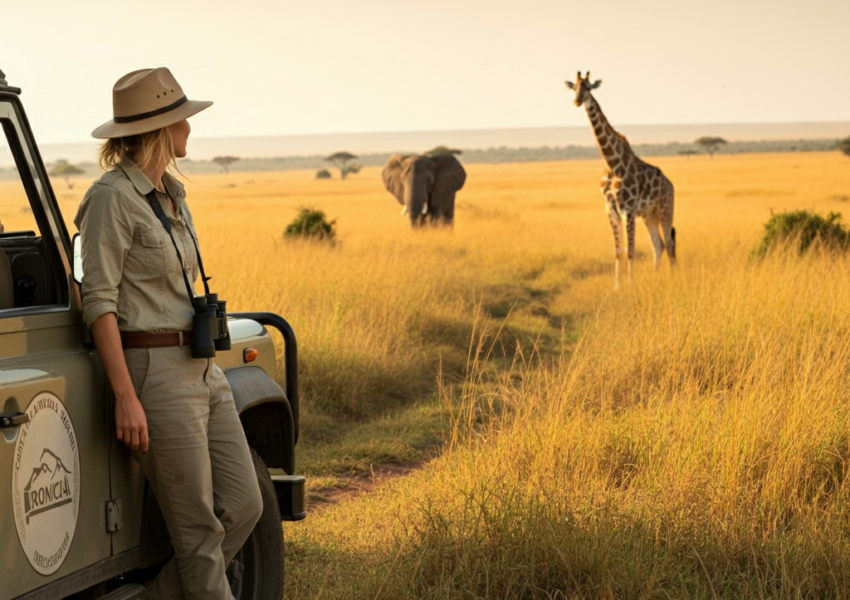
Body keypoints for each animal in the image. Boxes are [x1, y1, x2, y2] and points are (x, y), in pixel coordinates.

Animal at [564, 72, 676, 288]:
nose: (577, 101)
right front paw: (618, 288)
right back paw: (655, 280)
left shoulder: (628, 209)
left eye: (588, 87)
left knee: (669, 242)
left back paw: (676, 278)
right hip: (649, 216)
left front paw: (630, 286)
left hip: (665, 210)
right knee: (658, 245)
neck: (611, 163)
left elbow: (630, 251)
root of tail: (671, 185)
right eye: (574, 88)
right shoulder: (610, 210)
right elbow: (617, 252)